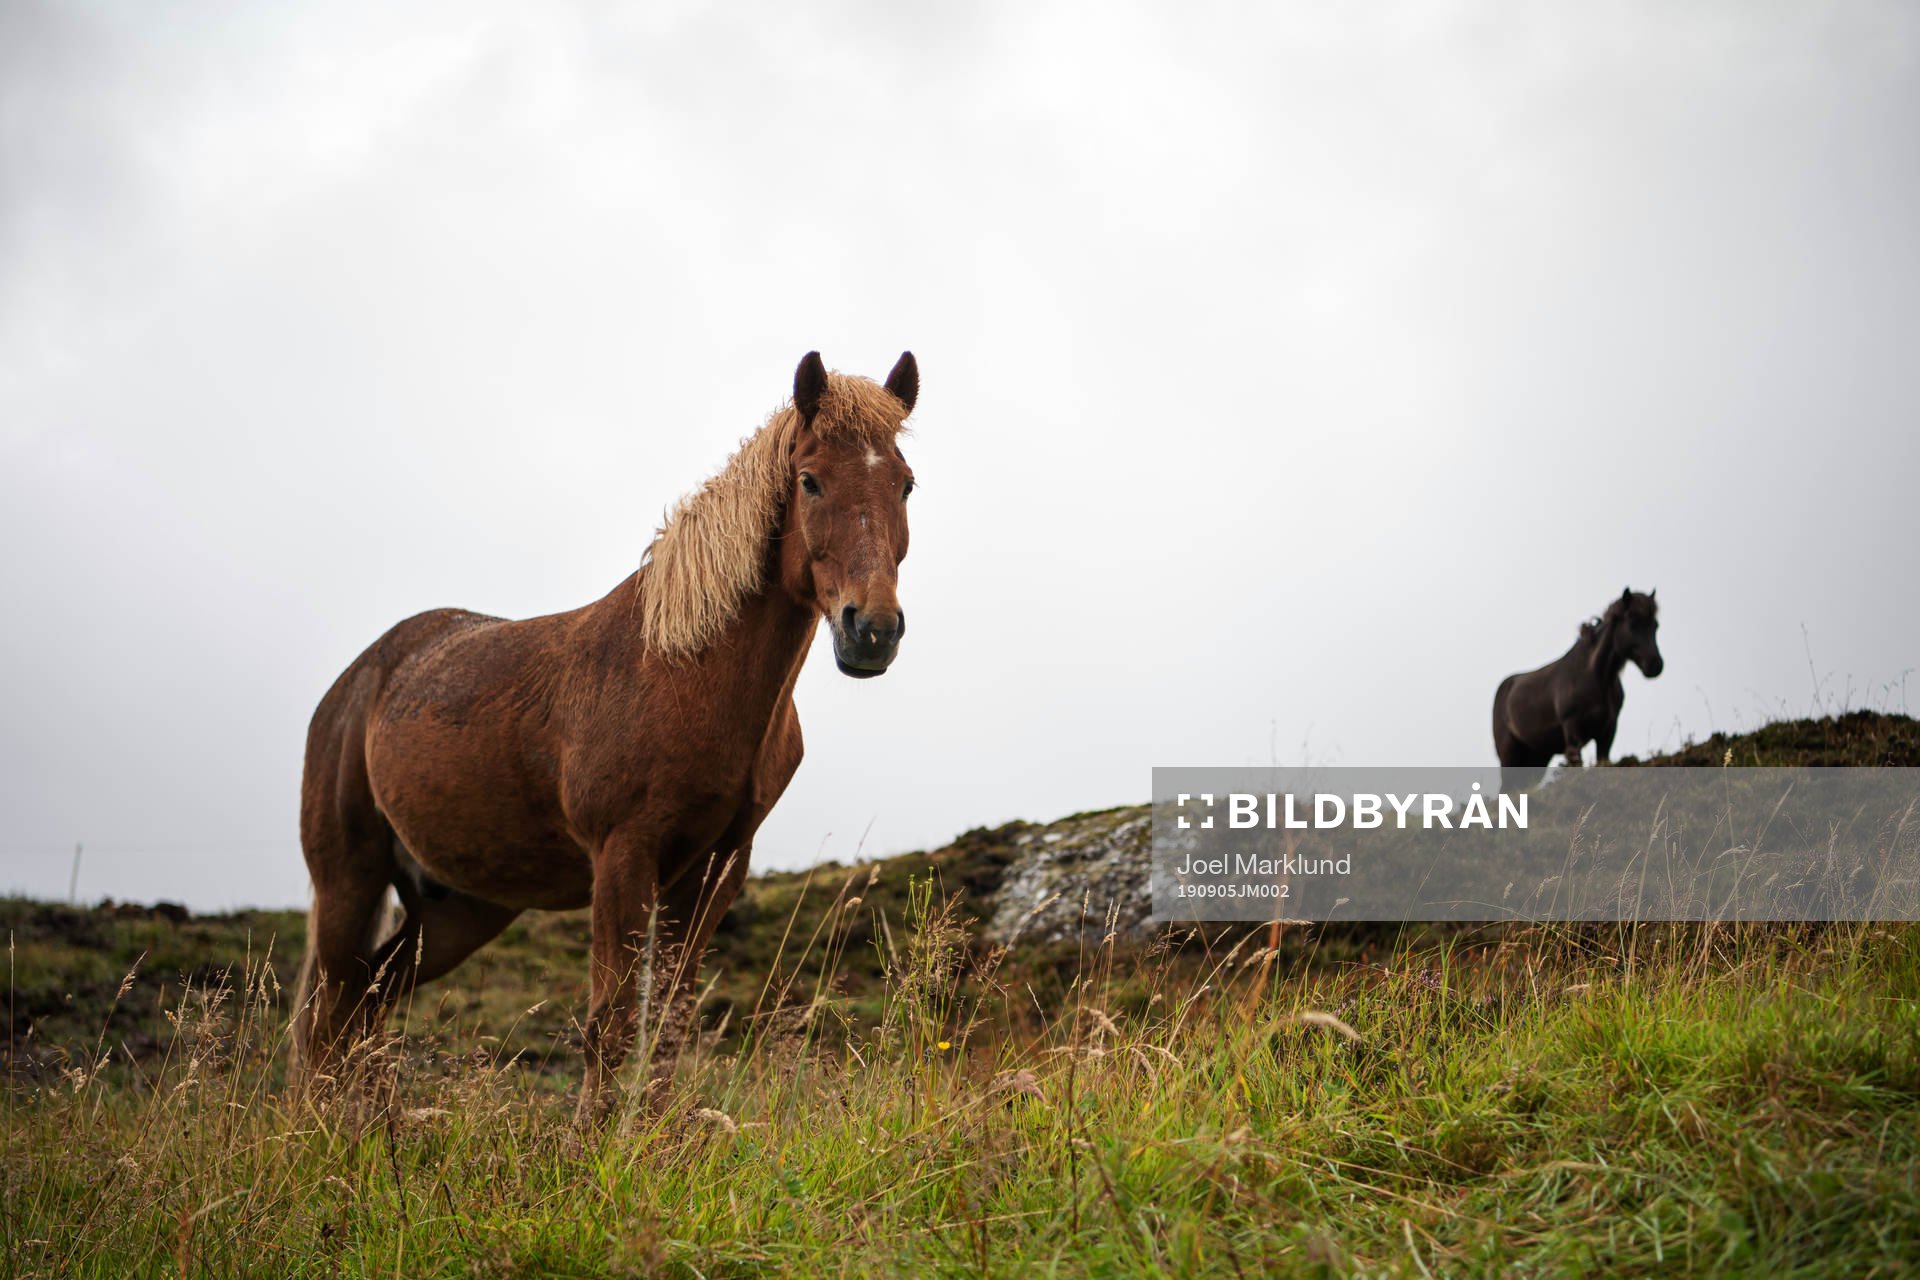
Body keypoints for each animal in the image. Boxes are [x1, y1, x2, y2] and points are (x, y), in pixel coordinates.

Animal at [291, 350, 921, 1124]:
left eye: (905, 483)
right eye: (810, 479)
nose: (874, 631)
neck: (683, 669)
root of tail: (355, 683)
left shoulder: (716, 867)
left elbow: (671, 1016)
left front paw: (654, 1136)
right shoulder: (623, 855)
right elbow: (610, 1022)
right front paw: (592, 1142)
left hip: (459, 908)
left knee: (368, 1002)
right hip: (349, 879)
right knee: (334, 1013)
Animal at [1491, 588, 1663, 791]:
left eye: (1655, 625)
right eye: (1633, 623)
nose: (1655, 665)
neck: (1595, 678)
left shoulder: (1608, 730)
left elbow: (1602, 762)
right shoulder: (1572, 729)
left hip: (1538, 756)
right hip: (1509, 752)